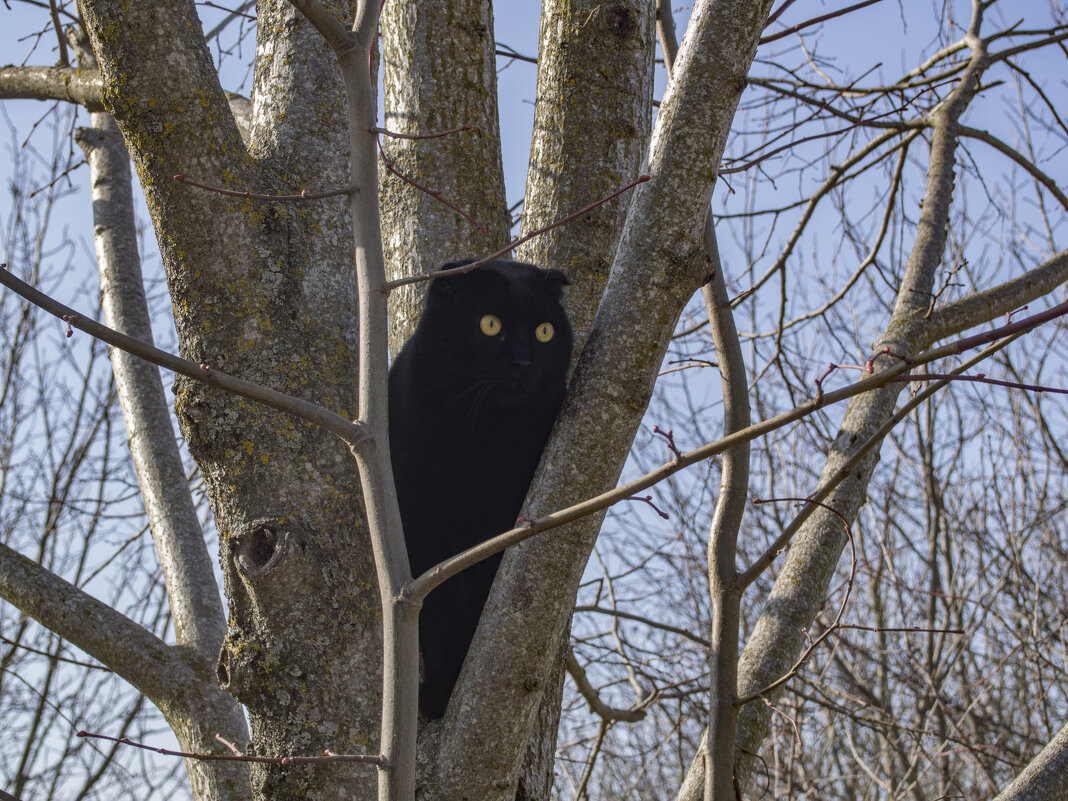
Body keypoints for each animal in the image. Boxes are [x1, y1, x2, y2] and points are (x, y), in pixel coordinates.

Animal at [388, 260, 572, 717]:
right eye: (490, 325)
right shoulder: (425, 526)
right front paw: (440, 692)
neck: (486, 436)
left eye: (545, 331)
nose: (523, 360)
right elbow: (444, 611)